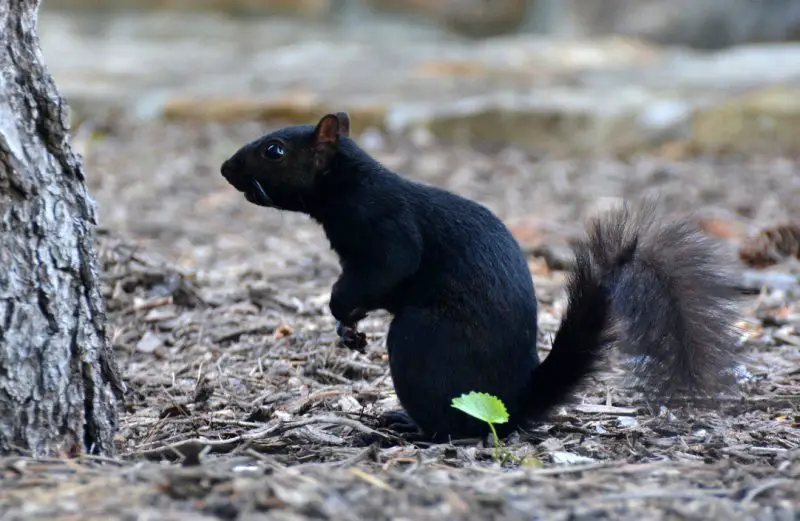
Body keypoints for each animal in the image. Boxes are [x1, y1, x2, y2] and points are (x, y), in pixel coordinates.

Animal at [220, 112, 742, 443]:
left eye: (274, 150)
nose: (226, 169)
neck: (347, 185)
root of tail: (514, 403)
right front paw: (348, 328)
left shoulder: (385, 229)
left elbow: (387, 268)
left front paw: (339, 310)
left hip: (419, 341)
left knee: (454, 427)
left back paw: (410, 431)